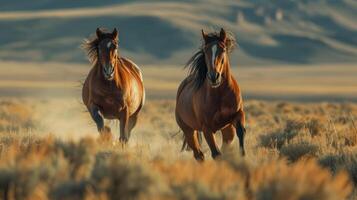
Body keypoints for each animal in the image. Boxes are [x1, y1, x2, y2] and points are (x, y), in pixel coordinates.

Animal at [175, 28, 245, 161]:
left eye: (223, 49)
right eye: (205, 50)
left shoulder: (236, 116)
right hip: (189, 130)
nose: (214, 77)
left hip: (227, 129)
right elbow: (216, 154)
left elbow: (241, 132)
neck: (219, 94)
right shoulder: (207, 128)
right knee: (199, 155)